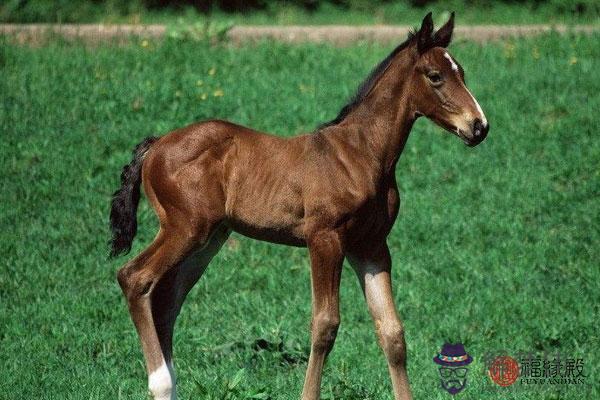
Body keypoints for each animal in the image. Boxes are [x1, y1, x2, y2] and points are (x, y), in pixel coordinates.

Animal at [110, 12, 488, 400]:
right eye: (435, 76)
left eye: (462, 72)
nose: (479, 126)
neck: (362, 153)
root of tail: (156, 146)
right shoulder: (324, 239)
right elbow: (324, 325)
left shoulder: (371, 246)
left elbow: (392, 331)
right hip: (184, 229)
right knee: (135, 278)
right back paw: (160, 382)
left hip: (208, 240)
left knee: (166, 301)